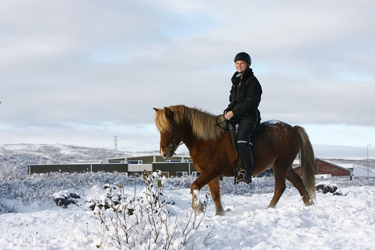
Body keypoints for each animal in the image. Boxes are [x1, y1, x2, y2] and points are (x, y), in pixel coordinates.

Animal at [154, 104, 316, 216]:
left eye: (170, 128)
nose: (164, 153)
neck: (207, 140)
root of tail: (293, 129)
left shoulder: (213, 170)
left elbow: (194, 186)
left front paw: (198, 208)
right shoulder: (210, 173)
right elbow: (215, 195)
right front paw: (219, 214)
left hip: (281, 165)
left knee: (280, 187)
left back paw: (270, 208)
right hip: (284, 165)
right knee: (298, 182)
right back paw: (308, 204)